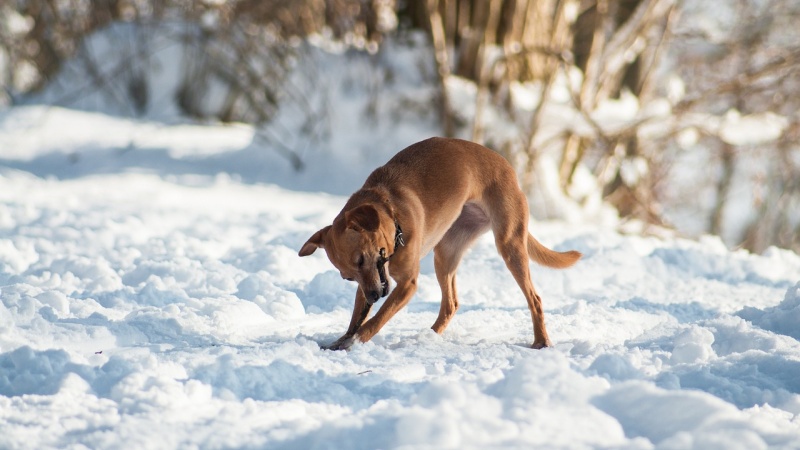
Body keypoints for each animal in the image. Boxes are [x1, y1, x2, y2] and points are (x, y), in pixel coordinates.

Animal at [300, 135, 580, 350]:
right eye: (348, 277)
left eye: (361, 259)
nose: (374, 296)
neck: (393, 214)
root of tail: (508, 168)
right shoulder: (373, 283)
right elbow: (356, 318)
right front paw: (340, 340)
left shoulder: (406, 285)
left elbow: (375, 321)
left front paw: (354, 342)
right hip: (445, 252)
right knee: (450, 304)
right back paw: (428, 337)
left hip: (510, 245)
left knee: (535, 299)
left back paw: (541, 342)